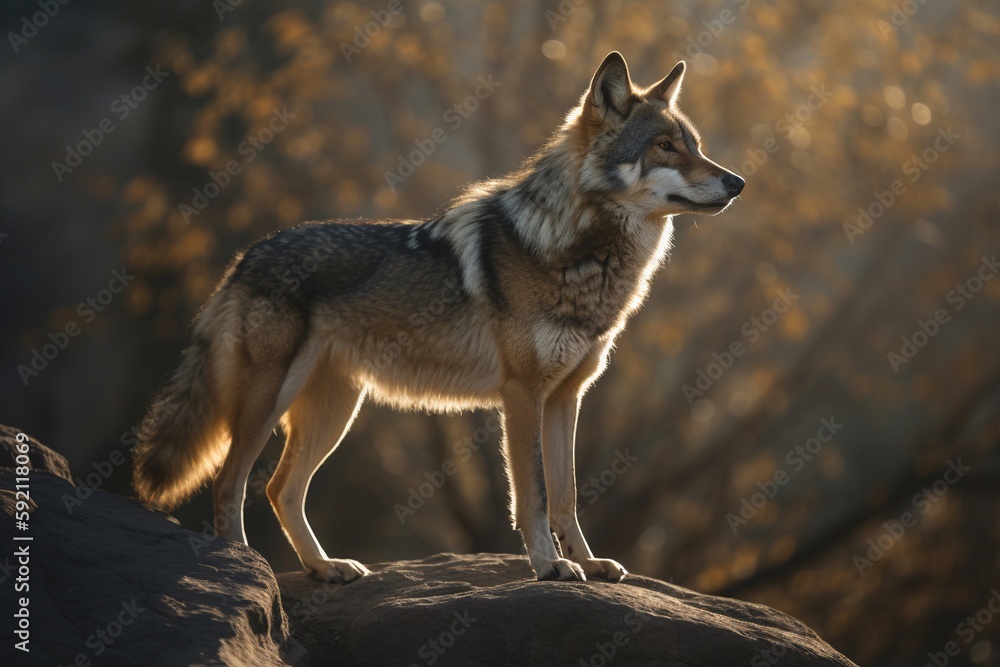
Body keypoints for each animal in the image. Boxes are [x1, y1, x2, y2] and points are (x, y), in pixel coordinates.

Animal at [133, 52, 744, 583]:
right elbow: (534, 495)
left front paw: (588, 564)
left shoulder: (565, 398)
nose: (737, 182)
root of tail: (245, 256)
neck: (580, 254)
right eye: (664, 147)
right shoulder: (521, 396)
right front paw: (549, 566)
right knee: (230, 482)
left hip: (335, 411)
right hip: (269, 401)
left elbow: (567, 496)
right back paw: (245, 566)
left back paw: (325, 568)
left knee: (279, 490)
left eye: (695, 146)